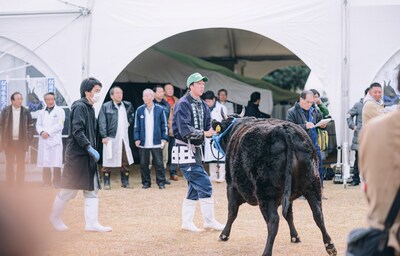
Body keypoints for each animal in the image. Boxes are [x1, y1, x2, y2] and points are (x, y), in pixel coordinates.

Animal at [212, 116, 338, 256]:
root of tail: (284, 130)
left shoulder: (231, 186)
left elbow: (232, 212)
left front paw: (224, 235)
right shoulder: (288, 197)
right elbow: (289, 214)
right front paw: (295, 236)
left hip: (266, 193)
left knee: (273, 221)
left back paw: (266, 252)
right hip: (313, 185)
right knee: (318, 214)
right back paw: (330, 245)